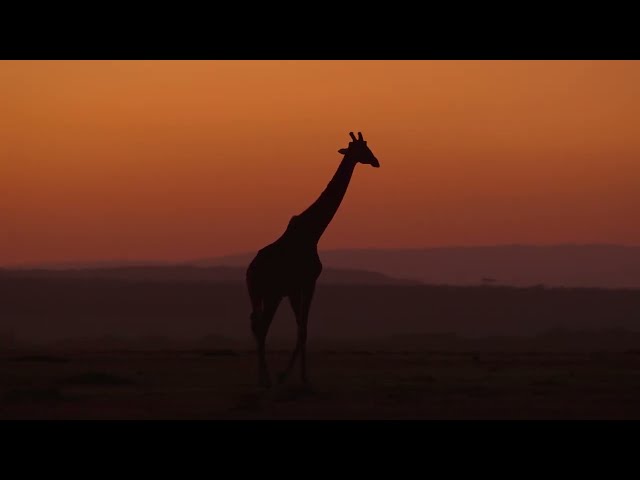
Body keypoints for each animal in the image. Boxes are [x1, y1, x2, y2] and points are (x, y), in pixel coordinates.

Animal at [244, 131, 376, 386]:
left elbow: (301, 328)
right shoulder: (308, 283)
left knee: (256, 323)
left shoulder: (295, 289)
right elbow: (303, 330)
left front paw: (290, 375)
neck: (313, 232)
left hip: (258, 294)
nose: (376, 161)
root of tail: (250, 271)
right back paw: (267, 379)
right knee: (262, 326)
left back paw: (263, 378)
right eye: (362, 149)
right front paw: (299, 378)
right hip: (272, 293)